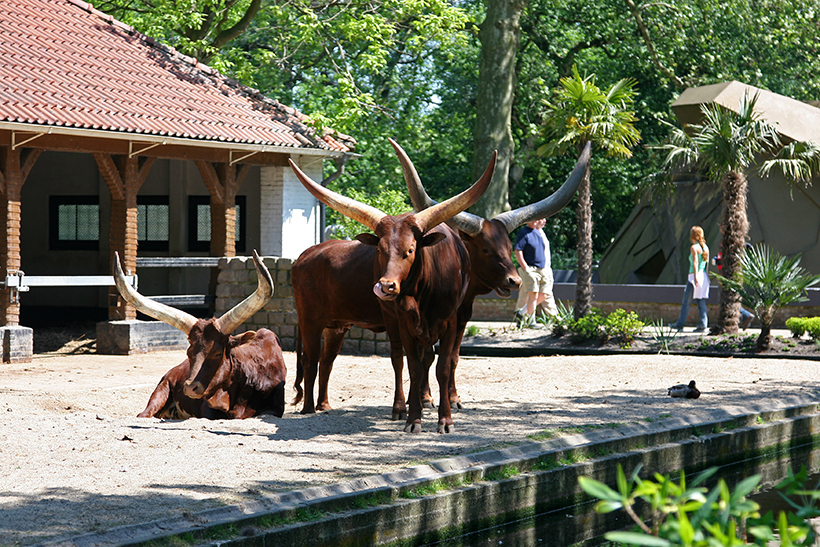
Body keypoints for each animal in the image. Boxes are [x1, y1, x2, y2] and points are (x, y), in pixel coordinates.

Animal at [112, 250, 286, 422]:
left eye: (217, 353)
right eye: (189, 353)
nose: (190, 387)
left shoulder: (275, 408)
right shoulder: (207, 407)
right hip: (162, 387)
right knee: (144, 414)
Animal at [408, 143, 592, 408]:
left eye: (507, 246)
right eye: (486, 248)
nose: (514, 281)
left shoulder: (461, 318)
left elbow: (452, 357)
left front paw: (453, 398)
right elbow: (427, 356)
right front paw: (425, 398)